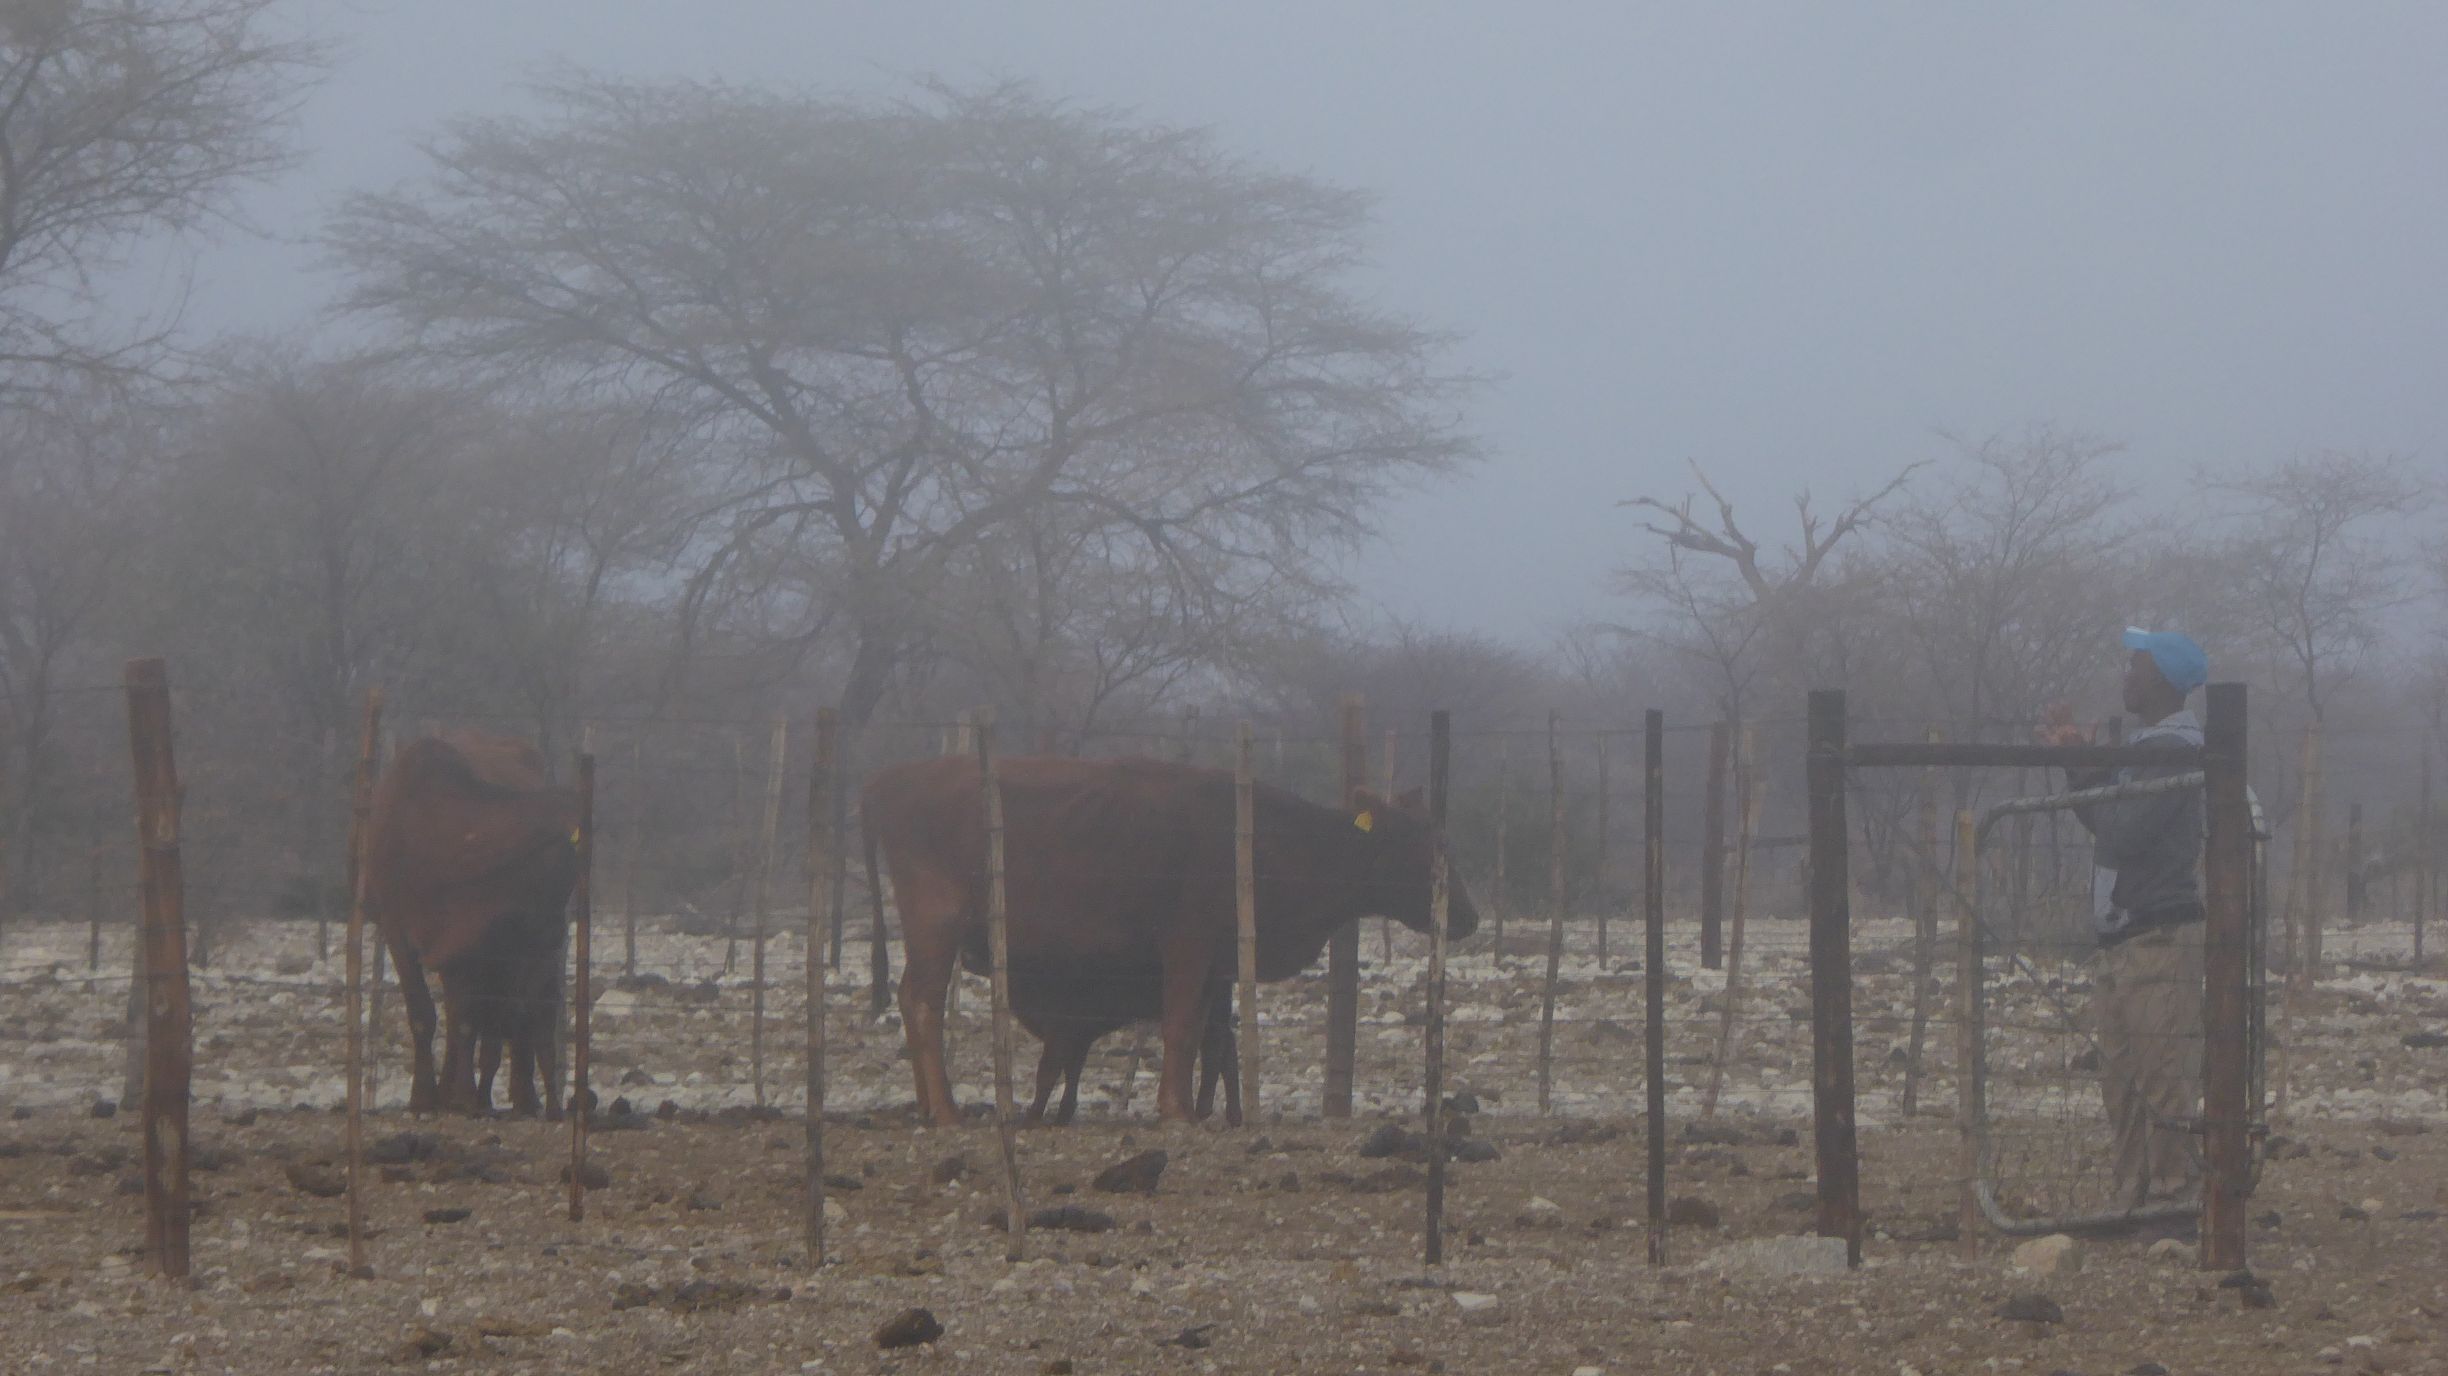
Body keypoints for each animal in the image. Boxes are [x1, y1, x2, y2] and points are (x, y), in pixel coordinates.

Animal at [364, 729, 580, 1116]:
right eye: (563, 853)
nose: (558, 930)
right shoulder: (398, 932)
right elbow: (424, 1014)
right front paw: (425, 1095)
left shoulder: (478, 947)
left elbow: (472, 1022)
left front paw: (465, 1094)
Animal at [866, 749, 1468, 1126]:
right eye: (1425, 846)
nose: (1469, 916)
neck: (1265, 841)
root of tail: (888, 782)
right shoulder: (1188, 945)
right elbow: (1179, 1026)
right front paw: (1175, 1110)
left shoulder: (1216, 965)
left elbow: (1205, 1033)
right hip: (936, 923)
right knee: (922, 1001)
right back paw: (946, 1110)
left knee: (911, 998)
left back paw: (928, 1105)